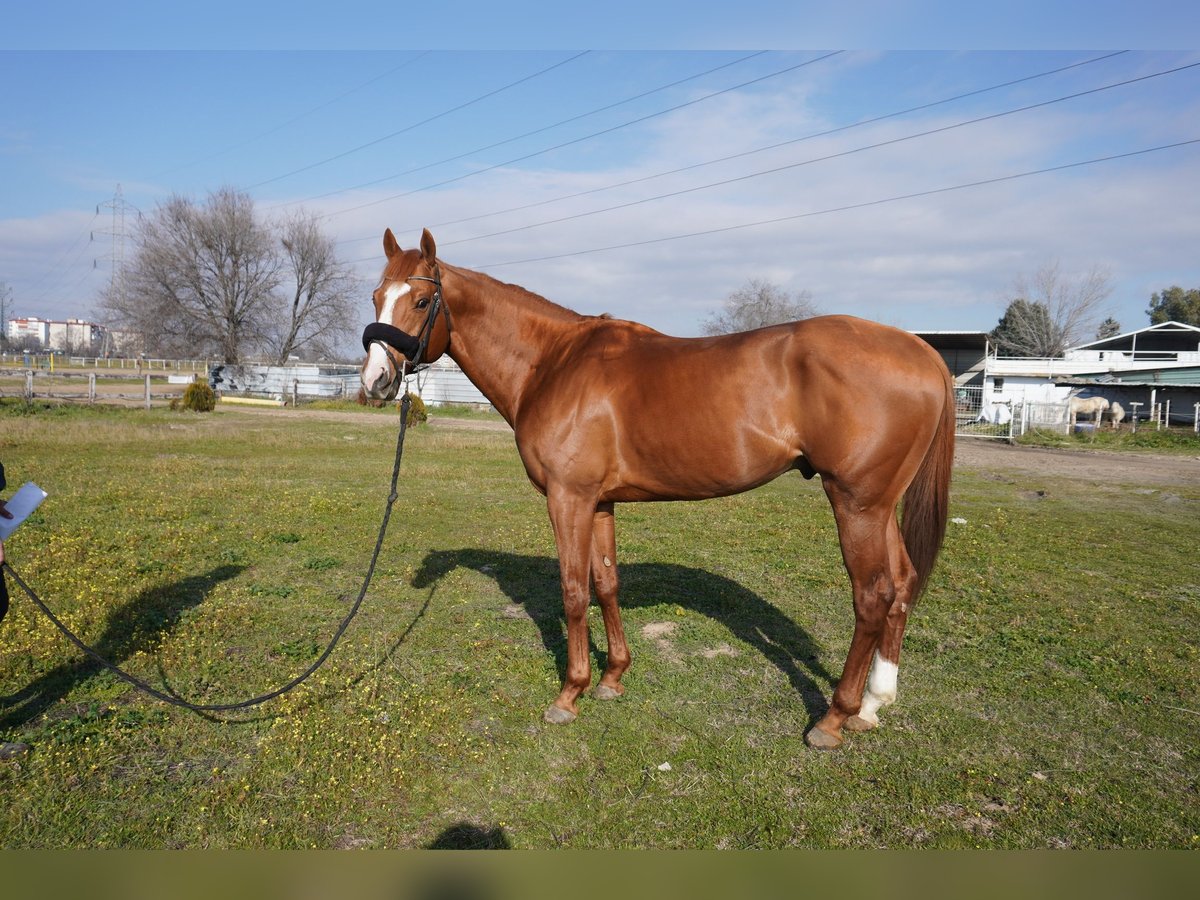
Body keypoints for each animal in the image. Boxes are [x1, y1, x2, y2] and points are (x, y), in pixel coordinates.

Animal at [360, 229, 950, 748]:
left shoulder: (568, 498)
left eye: (420, 300)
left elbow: (572, 591)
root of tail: (922, 352)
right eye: (375, 297)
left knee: (873, 596)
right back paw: (872, 705)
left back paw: (833, 718)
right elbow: (605, 583)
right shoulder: (599, 502)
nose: (375, 382)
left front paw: (569, 694)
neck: (553, 363)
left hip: (857, 504)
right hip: (880, 506)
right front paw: (612, 678)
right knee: (901, 585)